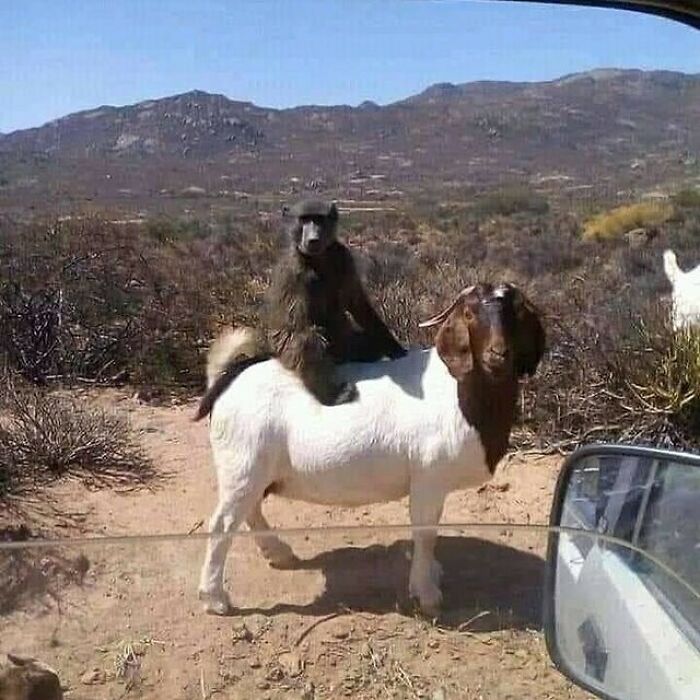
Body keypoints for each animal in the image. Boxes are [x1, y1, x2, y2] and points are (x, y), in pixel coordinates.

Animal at [197, 282, 545, 617]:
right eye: (470, 314)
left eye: (517, 313)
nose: (498, 355)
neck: (458, 392)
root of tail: (227, 380)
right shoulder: (428, 479)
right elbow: (425, 533)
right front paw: (426, 594)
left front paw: (432, 573)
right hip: (244, 463)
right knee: (223, 524)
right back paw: (214, 598)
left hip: (255, 470)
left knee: (250, 510)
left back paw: (279, 554)